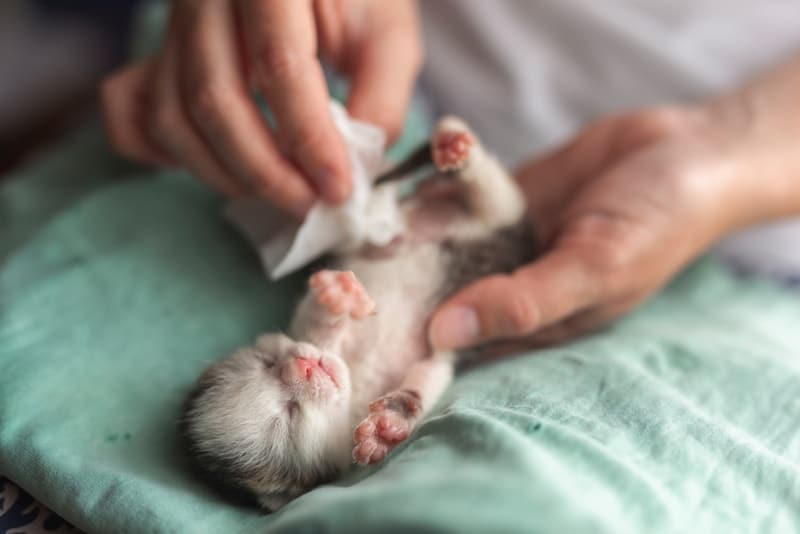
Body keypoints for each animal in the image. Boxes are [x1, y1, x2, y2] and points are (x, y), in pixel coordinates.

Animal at [178, 116, 536, 510]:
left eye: (266, 362)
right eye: (289, 415)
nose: (304, 366)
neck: (354, 372)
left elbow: (315, 323)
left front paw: (333, 297)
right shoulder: (427, 356)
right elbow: (428, 374)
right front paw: (389, 425)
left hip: (469, 219)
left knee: (485, 193)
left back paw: (452, 146)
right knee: (492, 197)